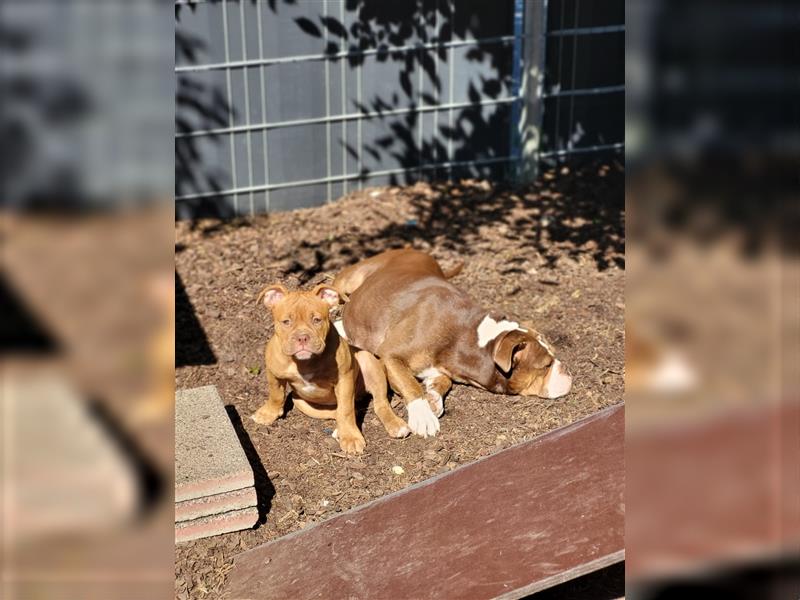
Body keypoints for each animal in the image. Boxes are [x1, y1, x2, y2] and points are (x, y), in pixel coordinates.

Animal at [252, 284, 412, 452]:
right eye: (286, 322)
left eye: (317, 320)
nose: (302, 337)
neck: (304, 362)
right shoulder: (274, 374)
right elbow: (275, 395)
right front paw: (268, 413)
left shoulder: (344, 379)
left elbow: (346, 410)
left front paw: (351, 437)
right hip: (301, 402)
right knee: (336, 412)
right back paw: (339, 430)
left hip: (368, 363)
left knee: (379, 403)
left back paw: (395, 424)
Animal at [332, 251, 576, 438]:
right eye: (545, 366)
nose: (567, 370)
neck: (468, 339)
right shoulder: (390, 354)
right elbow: (410, 385)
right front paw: (423, 414)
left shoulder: (440, 369)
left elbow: (443, 382)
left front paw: (433, 398)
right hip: (348, 279)